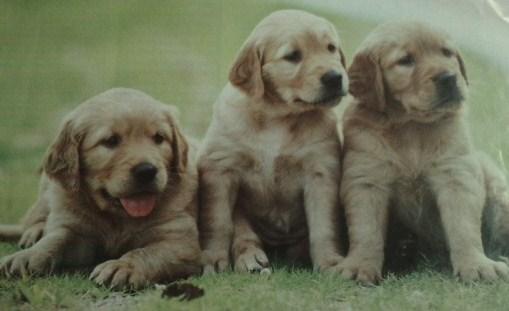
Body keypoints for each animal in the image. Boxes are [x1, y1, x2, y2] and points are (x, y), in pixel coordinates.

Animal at [0, 88, 201, 290]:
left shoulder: (180, 242)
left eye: (159, 138)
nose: (147, 170)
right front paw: (27, 257)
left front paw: (122, 266)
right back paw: (35, 232)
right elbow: (55, 239)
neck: (118, 217)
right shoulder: (75, 229)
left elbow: (146, 252)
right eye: (110, 141)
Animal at [196, 8, 348, 274]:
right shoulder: (220, 168)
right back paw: (251, 258)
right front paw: (212, 258)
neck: (276, 117)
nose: (335, 77)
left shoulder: (320, 173)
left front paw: (329, 261)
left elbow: (324, 226)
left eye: (331, 48)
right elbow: (218, 221)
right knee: (244, 235)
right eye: (292, 56)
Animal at [340, 21, 508, 286]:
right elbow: (366, 230)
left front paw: (477, 265)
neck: (411, 126)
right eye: (405, 60)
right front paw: (359, 266)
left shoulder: (456, 175)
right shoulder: (366, 180)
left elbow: (463, 227)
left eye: (447, 53)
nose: (449, 78)